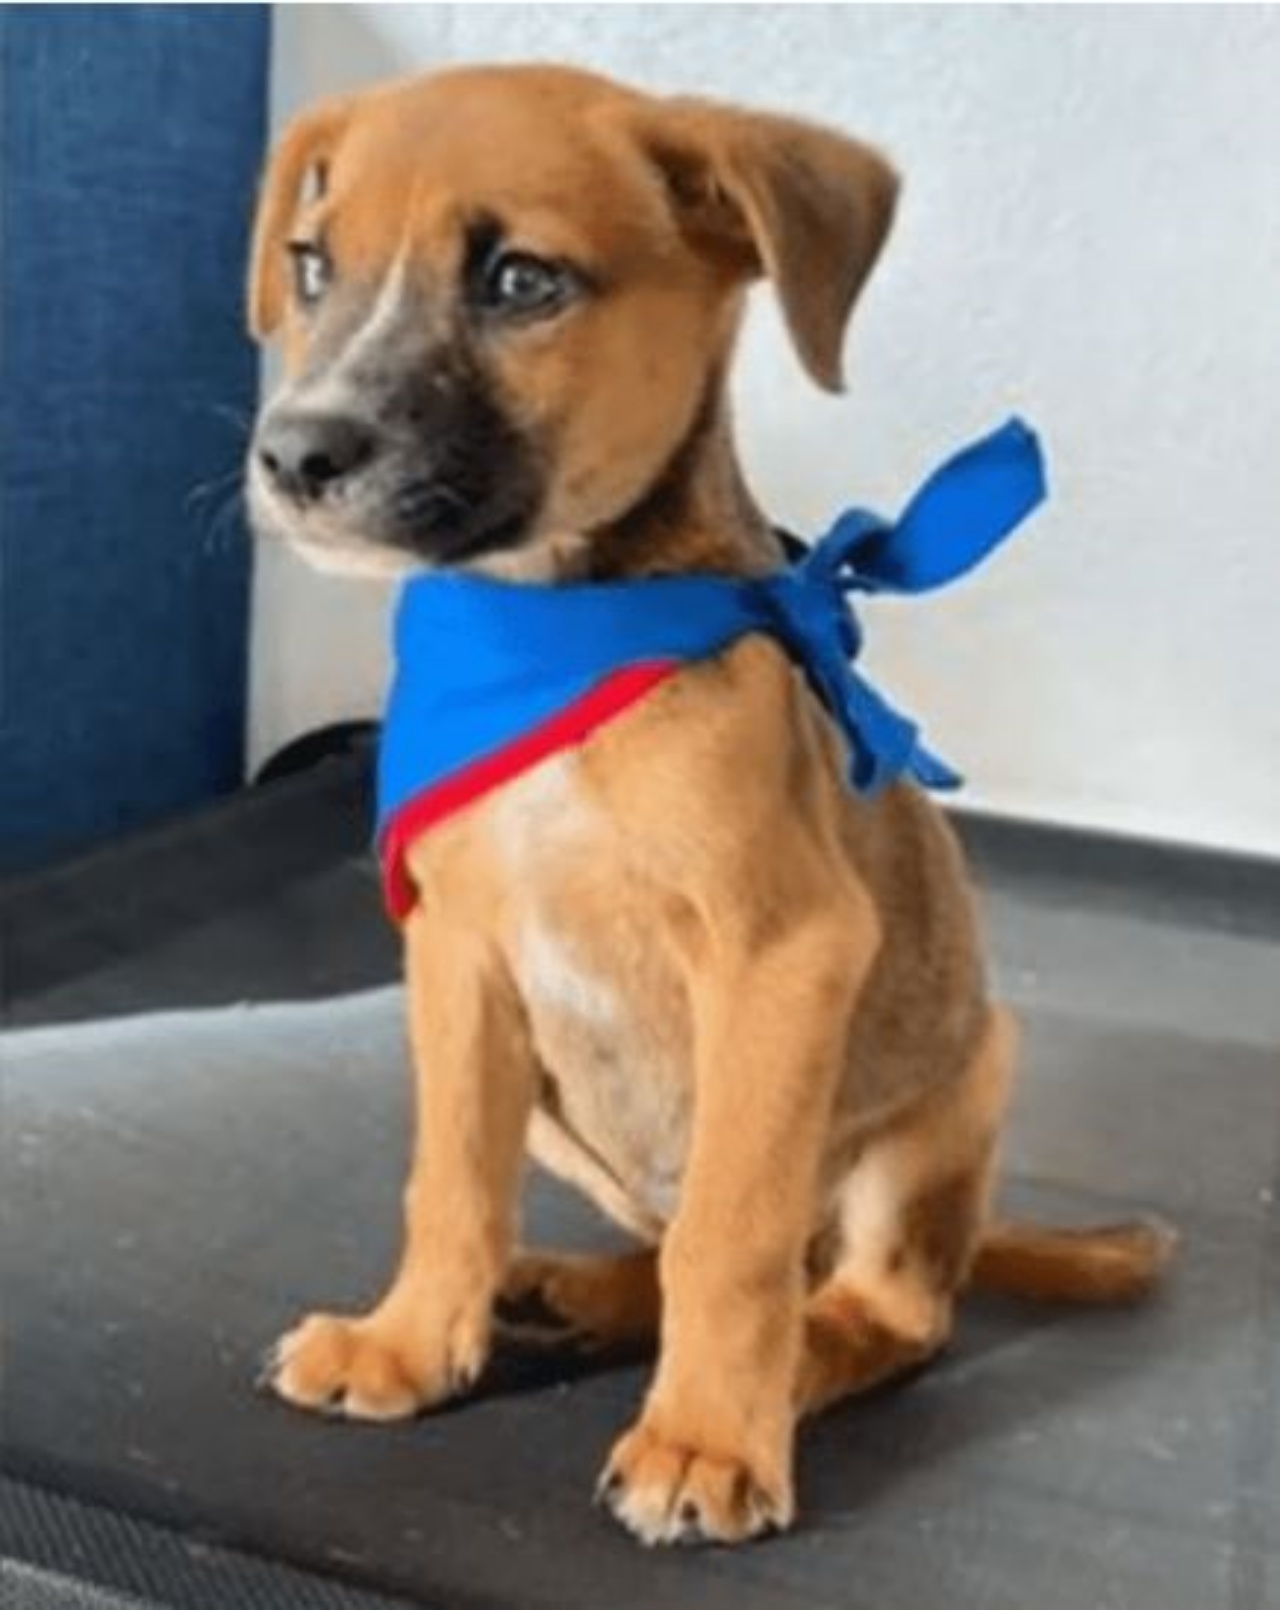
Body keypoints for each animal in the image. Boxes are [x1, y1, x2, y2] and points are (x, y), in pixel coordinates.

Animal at [244, 66, 1178, 1545]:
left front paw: (707, 1439)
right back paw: (566, 1288)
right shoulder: (453, 955)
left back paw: (785, 1363)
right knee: (676, 1242)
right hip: (563, 1107)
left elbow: (732, 1239)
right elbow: (451, 1178)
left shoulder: (783, 953)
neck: (552, 627)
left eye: (520, 280)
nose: (293, 453)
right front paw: (409, 1340)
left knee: (868, 1299)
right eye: (313, 264)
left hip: (950, 1094)